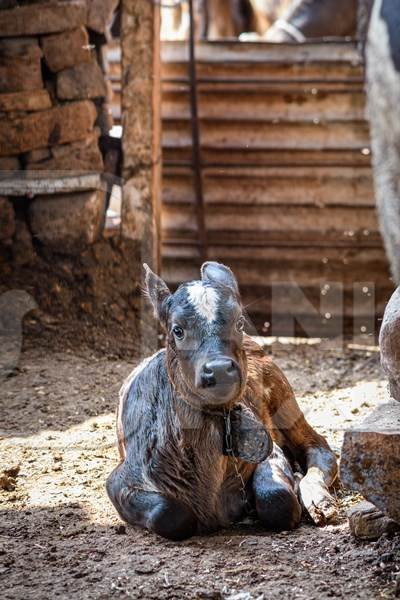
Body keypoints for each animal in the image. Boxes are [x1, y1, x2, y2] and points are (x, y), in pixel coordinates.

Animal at [106, 262, 338, 540]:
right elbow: (170, 514)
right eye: (177, 330)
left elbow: (278, 499)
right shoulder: (120, 479)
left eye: (239, 322)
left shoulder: (271, 450)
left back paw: (318, 499)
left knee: (320, 447)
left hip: (285, 400)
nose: (218, 369)